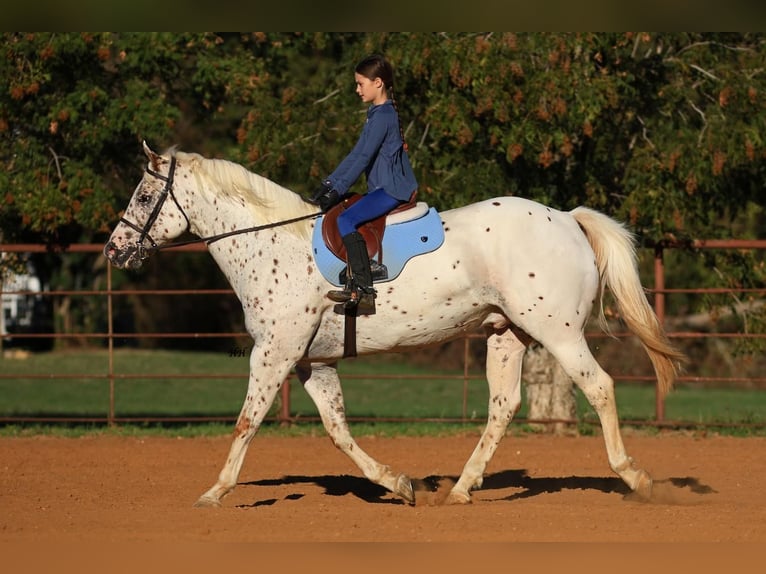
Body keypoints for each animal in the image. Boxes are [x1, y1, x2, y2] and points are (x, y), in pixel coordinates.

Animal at [105, 145, 688, 508]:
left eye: (142, 196)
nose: (114, 250)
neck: (270, 244)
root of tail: (566, 218)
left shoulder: (273, 354)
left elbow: (246, 423)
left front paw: (214, 492)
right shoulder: (312, 363)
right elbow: (338, 432)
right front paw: (398, 483)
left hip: (559, 334)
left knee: (600, 388)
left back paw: (635, 476)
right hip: (507, 334)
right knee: (504, 406)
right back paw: (460, 489)